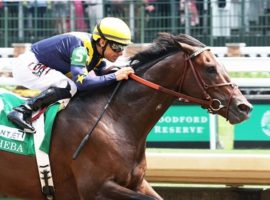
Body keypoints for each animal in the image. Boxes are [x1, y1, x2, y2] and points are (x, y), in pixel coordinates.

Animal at [0, 32, 252, 199]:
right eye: (210, 68)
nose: (244, 107)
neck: (114, 119)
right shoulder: (97, 188)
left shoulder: (136, 182)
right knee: (66, 84)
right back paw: (18, 115)